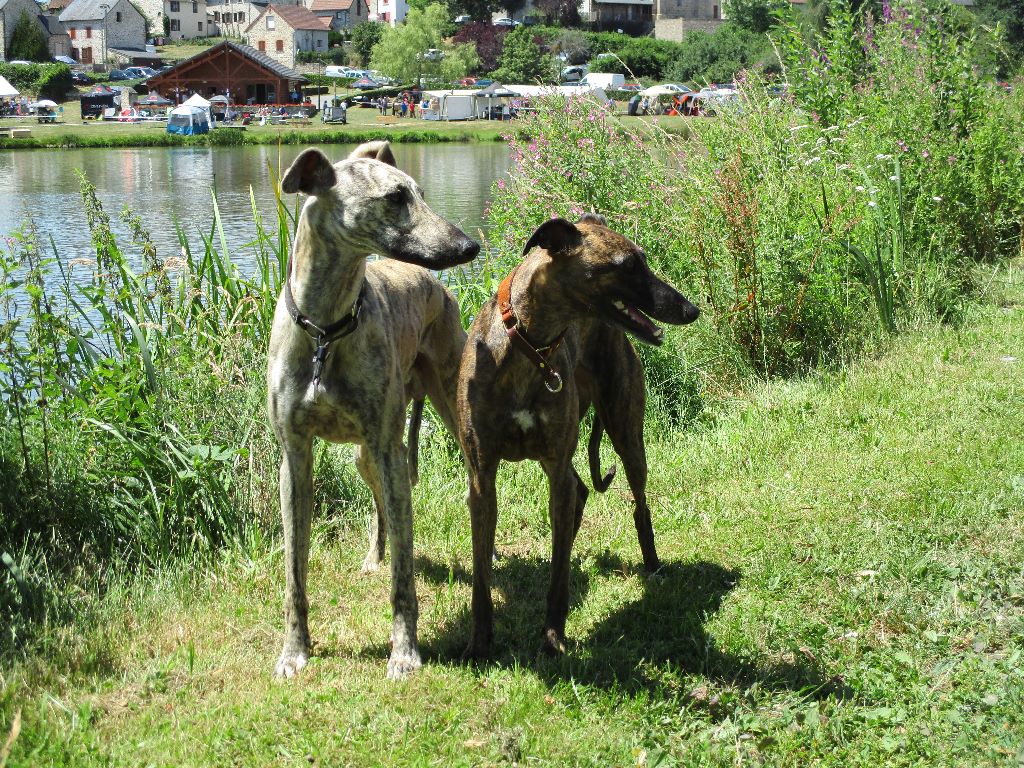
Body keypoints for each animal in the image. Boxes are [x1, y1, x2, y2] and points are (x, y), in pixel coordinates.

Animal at [270, 143, 481, 679]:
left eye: (420, 193)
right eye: (395, 197)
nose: (469, 245)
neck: (326, 330)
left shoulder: (389, 450)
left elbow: (404, 583)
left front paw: (404, 653)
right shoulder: (295, 458)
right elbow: (294, 575)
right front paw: (294, 651)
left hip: (440, 415)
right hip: (366, 454)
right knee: (380, 508)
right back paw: (374, 555)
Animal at [456, 214, 696, 659]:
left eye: (642, 259)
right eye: (628, 264)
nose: (692, 310)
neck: (530, 346)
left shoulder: (555, 469)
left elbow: (559, 575)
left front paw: (552, 637)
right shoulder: (481, 478)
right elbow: (481, 576)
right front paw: (479, 643)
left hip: (625, 433)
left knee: (638, 505)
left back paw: (653, 565)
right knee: (581, 491)